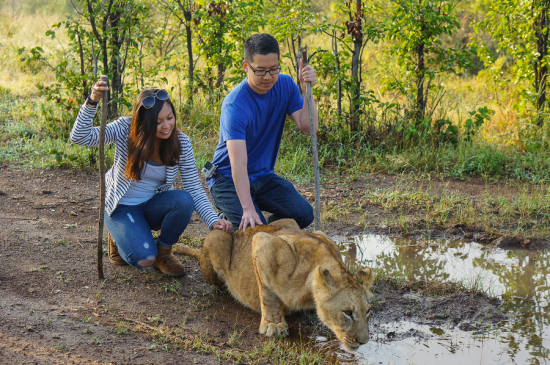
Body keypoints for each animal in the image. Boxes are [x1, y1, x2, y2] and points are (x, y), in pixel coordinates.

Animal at [179, 219, 378, 350]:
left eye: (368, 311)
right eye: (348, 313)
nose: (364, 342)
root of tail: (235, 231)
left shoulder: (320, 234)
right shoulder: (262, 242)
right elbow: (268, 293)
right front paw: (273, 324)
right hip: (216, 237)